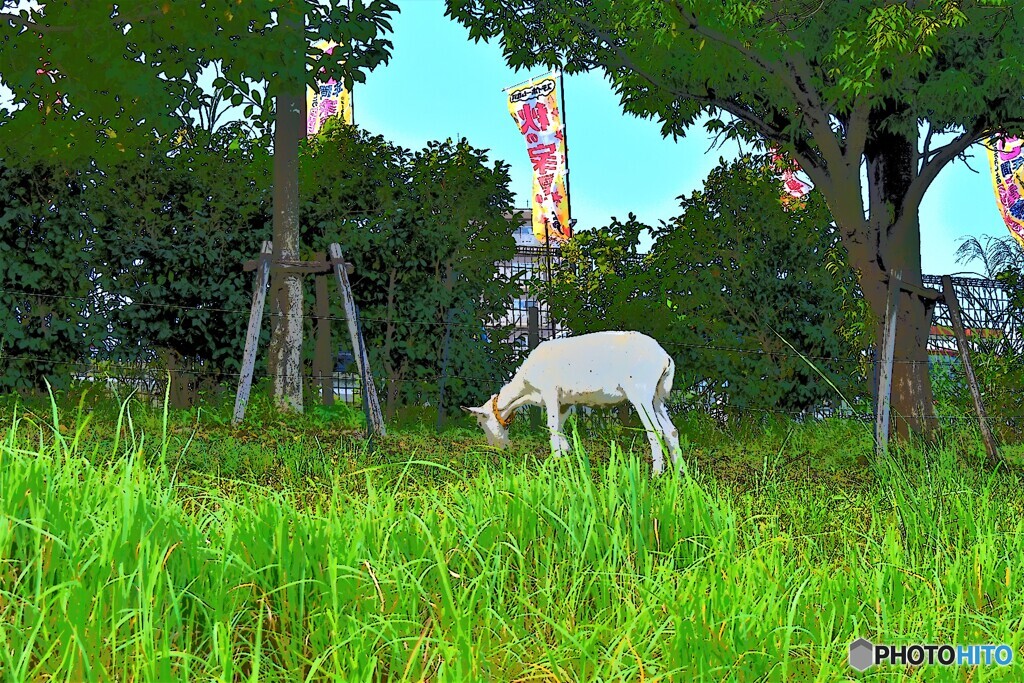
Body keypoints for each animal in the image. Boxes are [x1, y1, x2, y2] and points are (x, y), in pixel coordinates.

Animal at [468, 331, 684, 475]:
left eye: (480, 423)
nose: (496, 448)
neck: (526, 391)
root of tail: (665, 358)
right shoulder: (565, 402)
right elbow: (560, 427)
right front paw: (567, 456)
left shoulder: (550, 392)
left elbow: (552, 426)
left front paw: (556, 461)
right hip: (657, 396)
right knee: (671, 430)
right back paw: (679, 472)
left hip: (640, 393)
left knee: (655, 431)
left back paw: (657, 473)